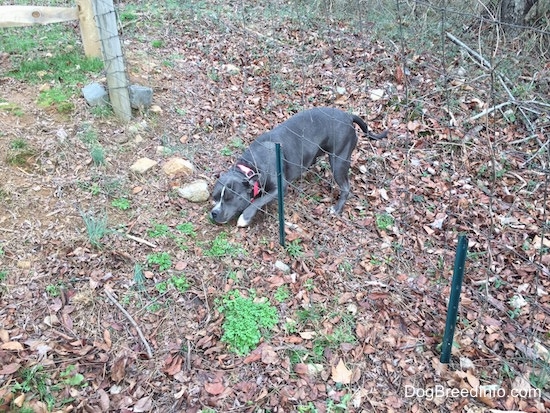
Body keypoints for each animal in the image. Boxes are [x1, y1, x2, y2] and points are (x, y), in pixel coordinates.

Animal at [210, 106, 388, 227]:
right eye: (214, 197)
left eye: (230, 198)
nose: (214, 212)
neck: (250, 167)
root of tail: (348, 116)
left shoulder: (279, 188)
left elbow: (257, 202)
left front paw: (244, 218)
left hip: (338, 160)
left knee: (346, 187)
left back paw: (336, 209)